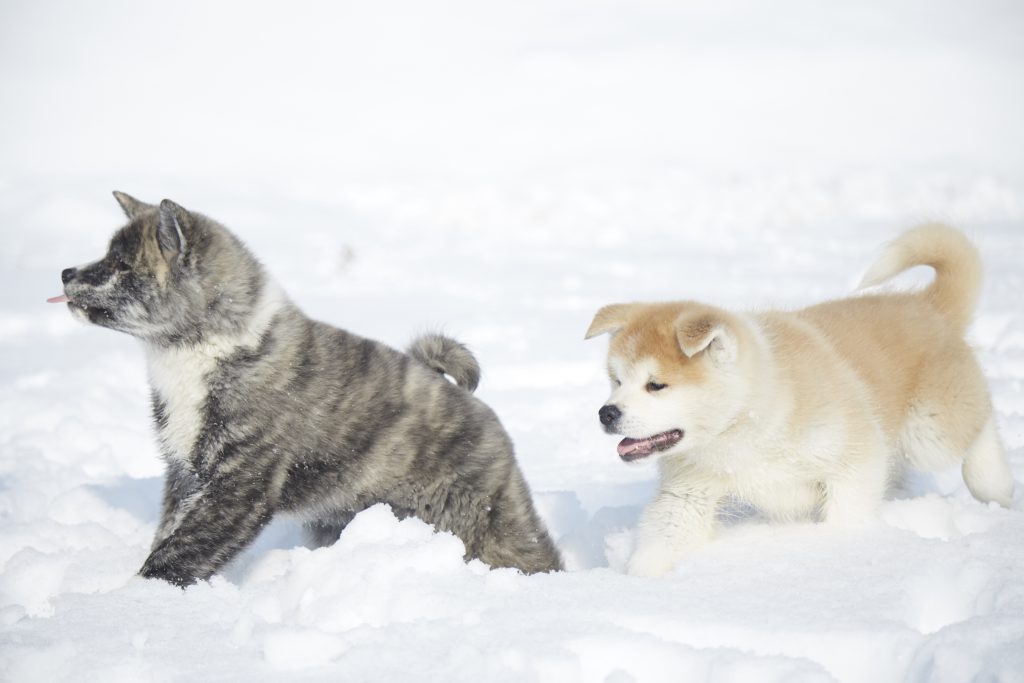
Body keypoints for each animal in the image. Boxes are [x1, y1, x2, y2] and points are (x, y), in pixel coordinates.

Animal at [49, 193, 561, 589]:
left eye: (121, 264)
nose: (65, 273)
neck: (201, 348)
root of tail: (472, 404)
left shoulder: (239, 483)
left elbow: (181, 549)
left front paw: (140, 597)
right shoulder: (187, 476)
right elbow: (170, 533)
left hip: (487, 521)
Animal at [589, 227, 1011, 581]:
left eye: (656, 385)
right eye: (616, 380)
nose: (606, 413)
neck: (746, 424)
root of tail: (927, 306)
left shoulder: (856, 459)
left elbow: (844, 516)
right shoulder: (688, 494)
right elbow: (661, 542)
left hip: (929, 431)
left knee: (980, 421)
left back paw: (994, 485)